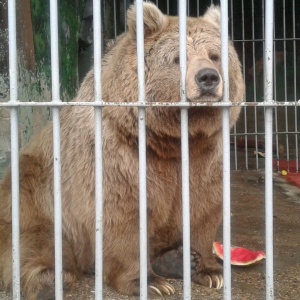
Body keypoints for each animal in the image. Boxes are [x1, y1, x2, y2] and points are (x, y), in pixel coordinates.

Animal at [0, 1, 244, 298]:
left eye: (215, 56)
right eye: (178, 58)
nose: (208, 77)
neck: (170, 139)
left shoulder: (204, 157)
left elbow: (201, 208)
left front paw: (209, 270)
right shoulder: (117, 157)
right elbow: (124, 216)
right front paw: (148, 282)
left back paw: (175, 259)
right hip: (37, 190)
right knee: (36, 239)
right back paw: (50, 278)